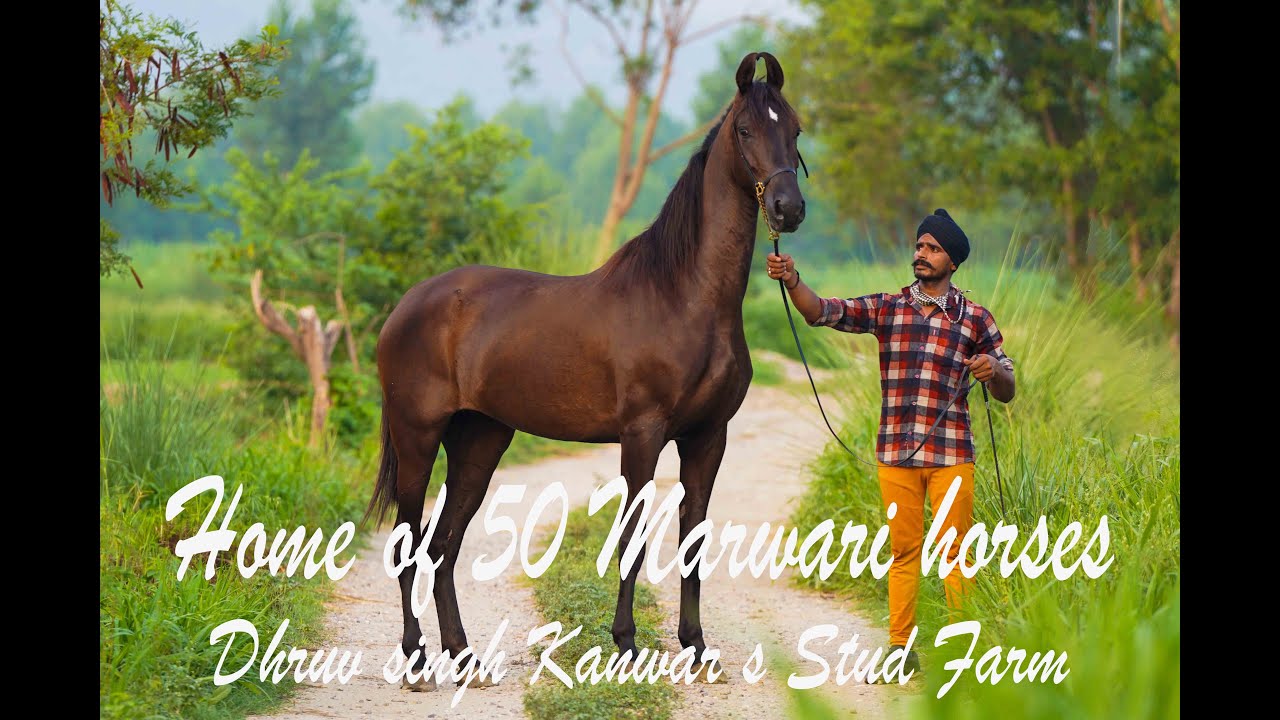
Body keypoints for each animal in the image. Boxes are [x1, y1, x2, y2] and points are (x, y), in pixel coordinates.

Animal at [365, 51, 806, 688]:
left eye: (795, 130)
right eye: (746, 129)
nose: (787, 209)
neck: (683, 296)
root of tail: (406, 306)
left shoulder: (708, 437)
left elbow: (692, 541)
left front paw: (697, 648)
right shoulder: (643, 433)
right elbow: (632, 537)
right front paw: (625, 645)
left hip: (480, 440)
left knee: (444, 546)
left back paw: (465, 657)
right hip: (418, 437)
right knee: (409, 544)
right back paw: (418, 659)